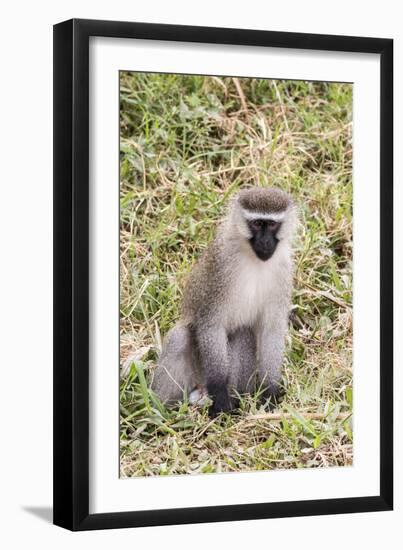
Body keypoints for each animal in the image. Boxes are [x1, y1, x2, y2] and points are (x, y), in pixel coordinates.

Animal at [152, 188, 296, 416]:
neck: (254, 259)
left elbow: (272, 332)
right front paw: (219, 394)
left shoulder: (284, 271)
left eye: (272, 225)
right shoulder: (220, 265)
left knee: (244, 333)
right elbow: (211, 324)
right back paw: (164, 412)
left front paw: (270, 394)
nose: (265, 242)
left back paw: (236, 401)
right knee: (180, 336)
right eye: (257, 224)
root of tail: (201, 387)